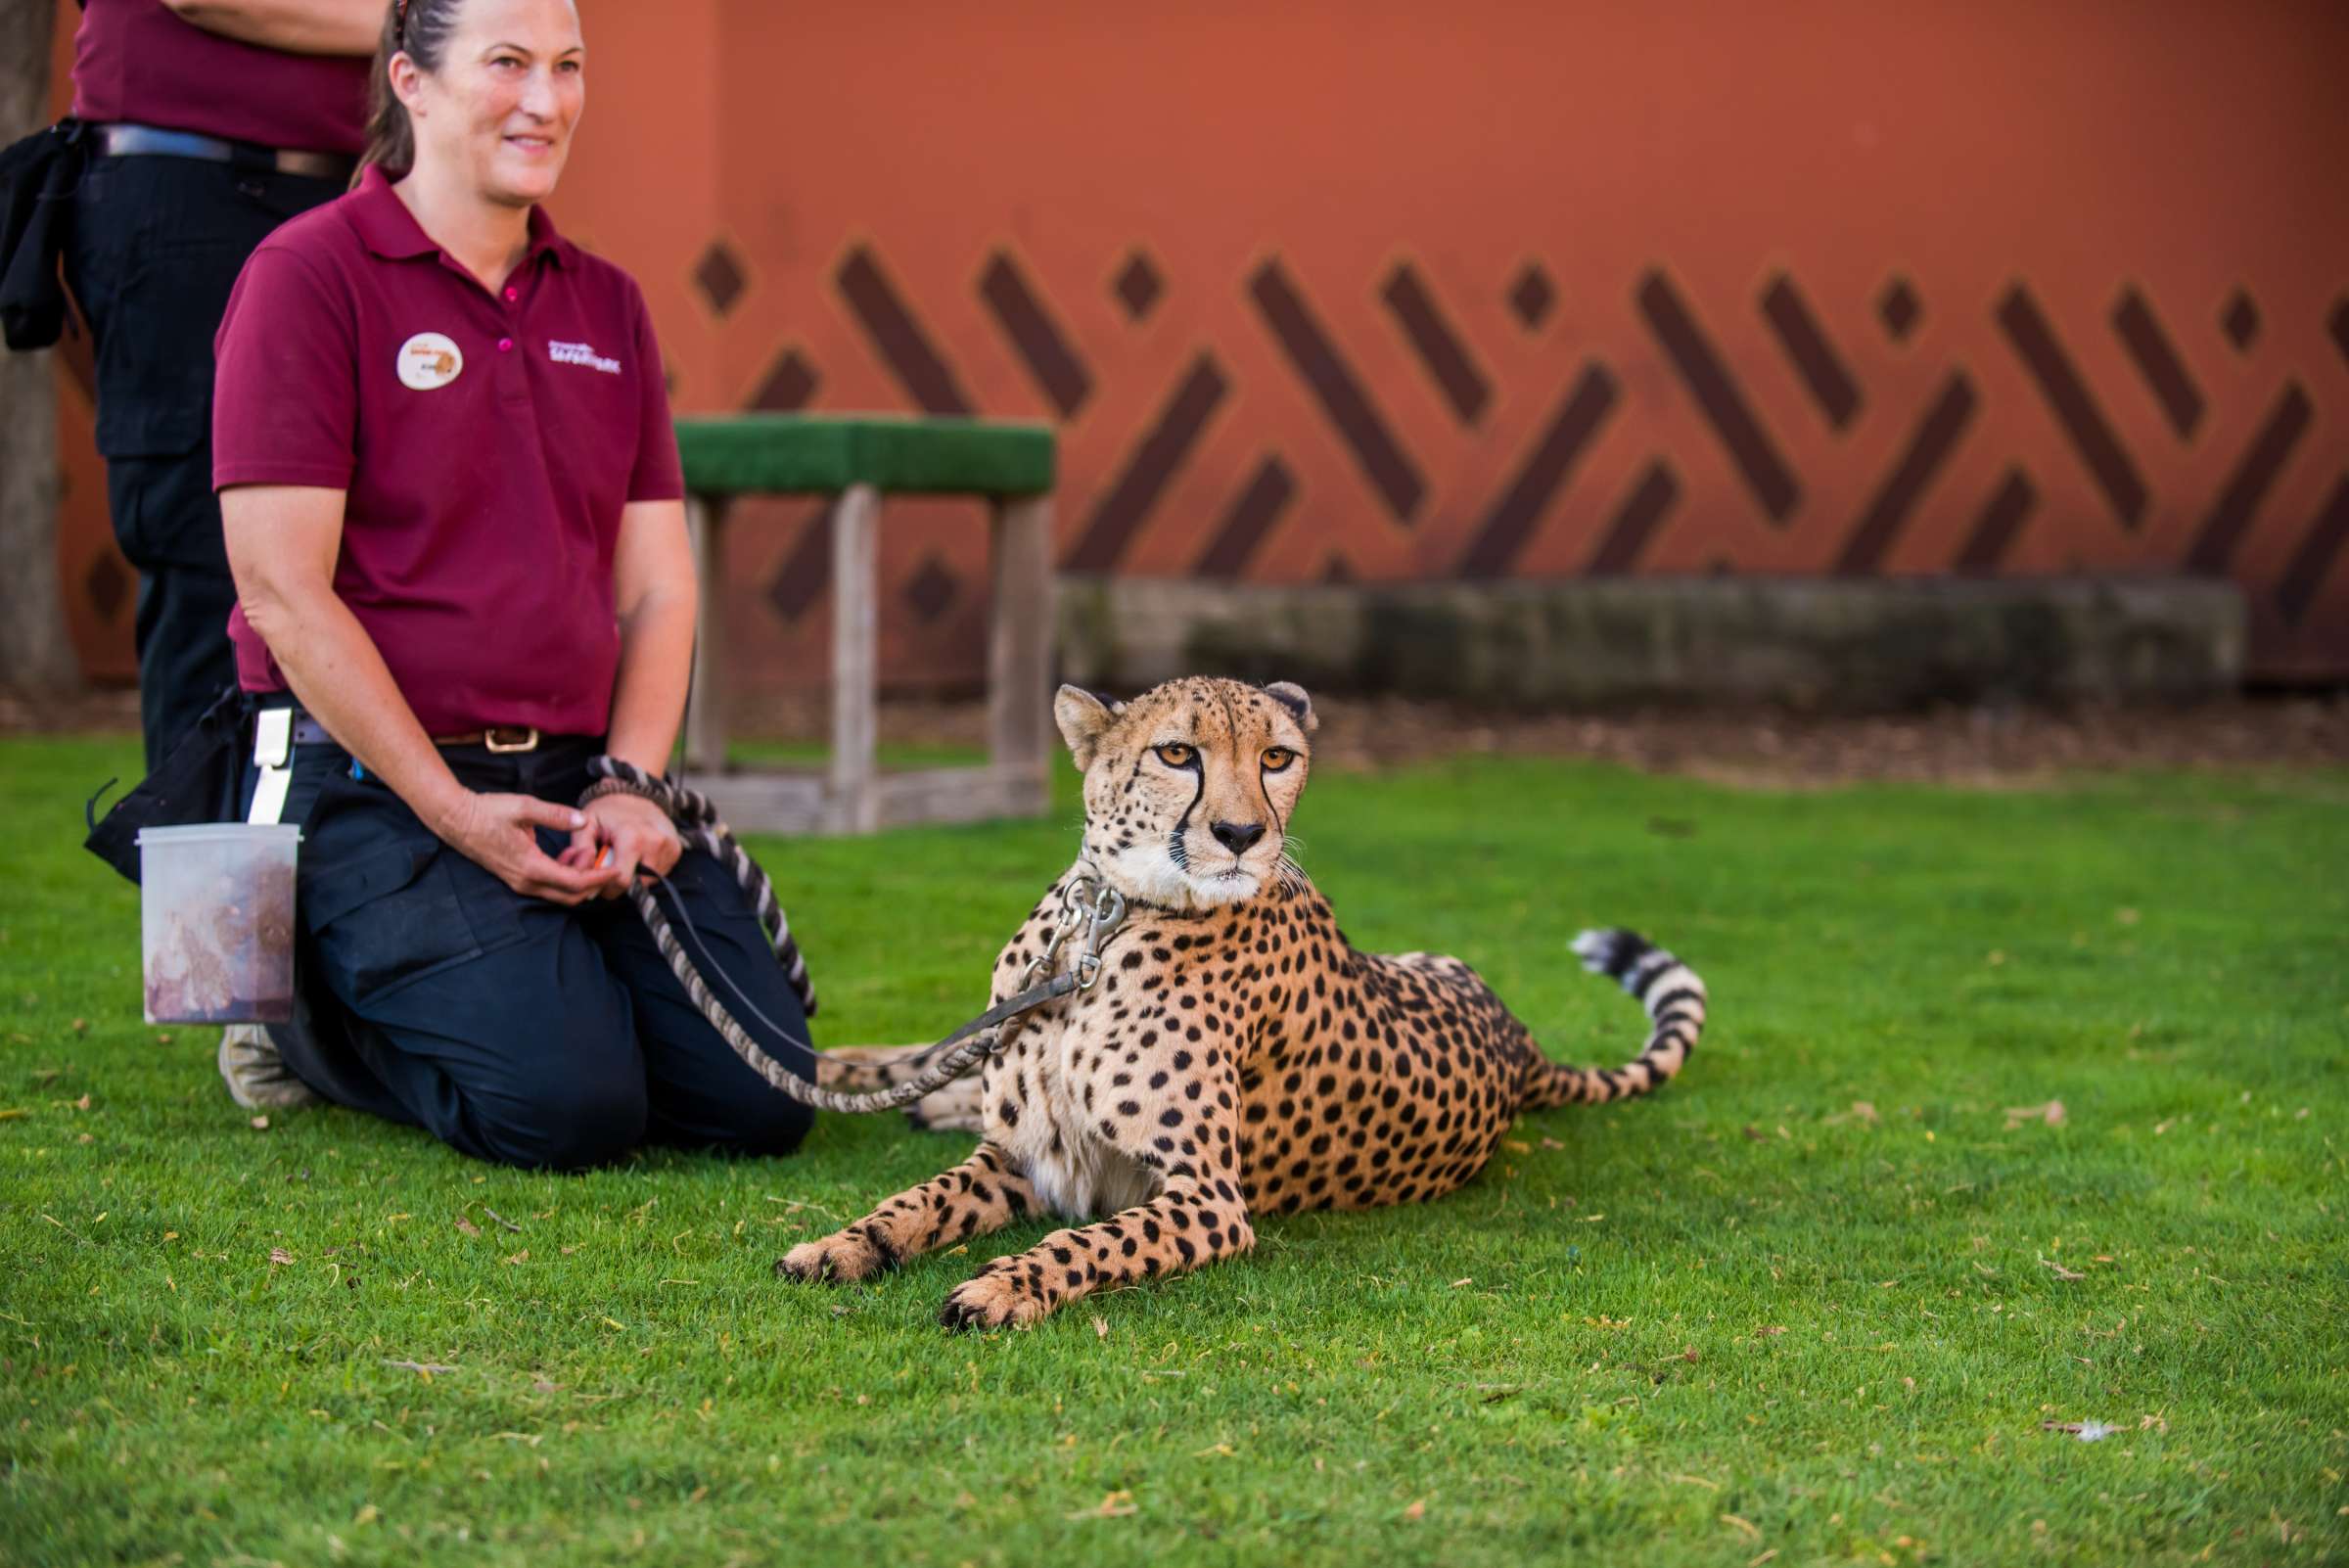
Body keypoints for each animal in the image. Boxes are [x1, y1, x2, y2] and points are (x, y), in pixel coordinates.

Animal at [789, 680, 1710, 1333]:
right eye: (1176, 753)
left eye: (1276, 758)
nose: (1241, 836)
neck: (1109, 920)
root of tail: (1523, 1048)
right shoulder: (1023, 1154)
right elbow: (916, 1201)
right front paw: (843, 1244)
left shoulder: (1204, 1201)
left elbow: (1082, 1241)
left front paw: (1005, 1287)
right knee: (924, 1066)